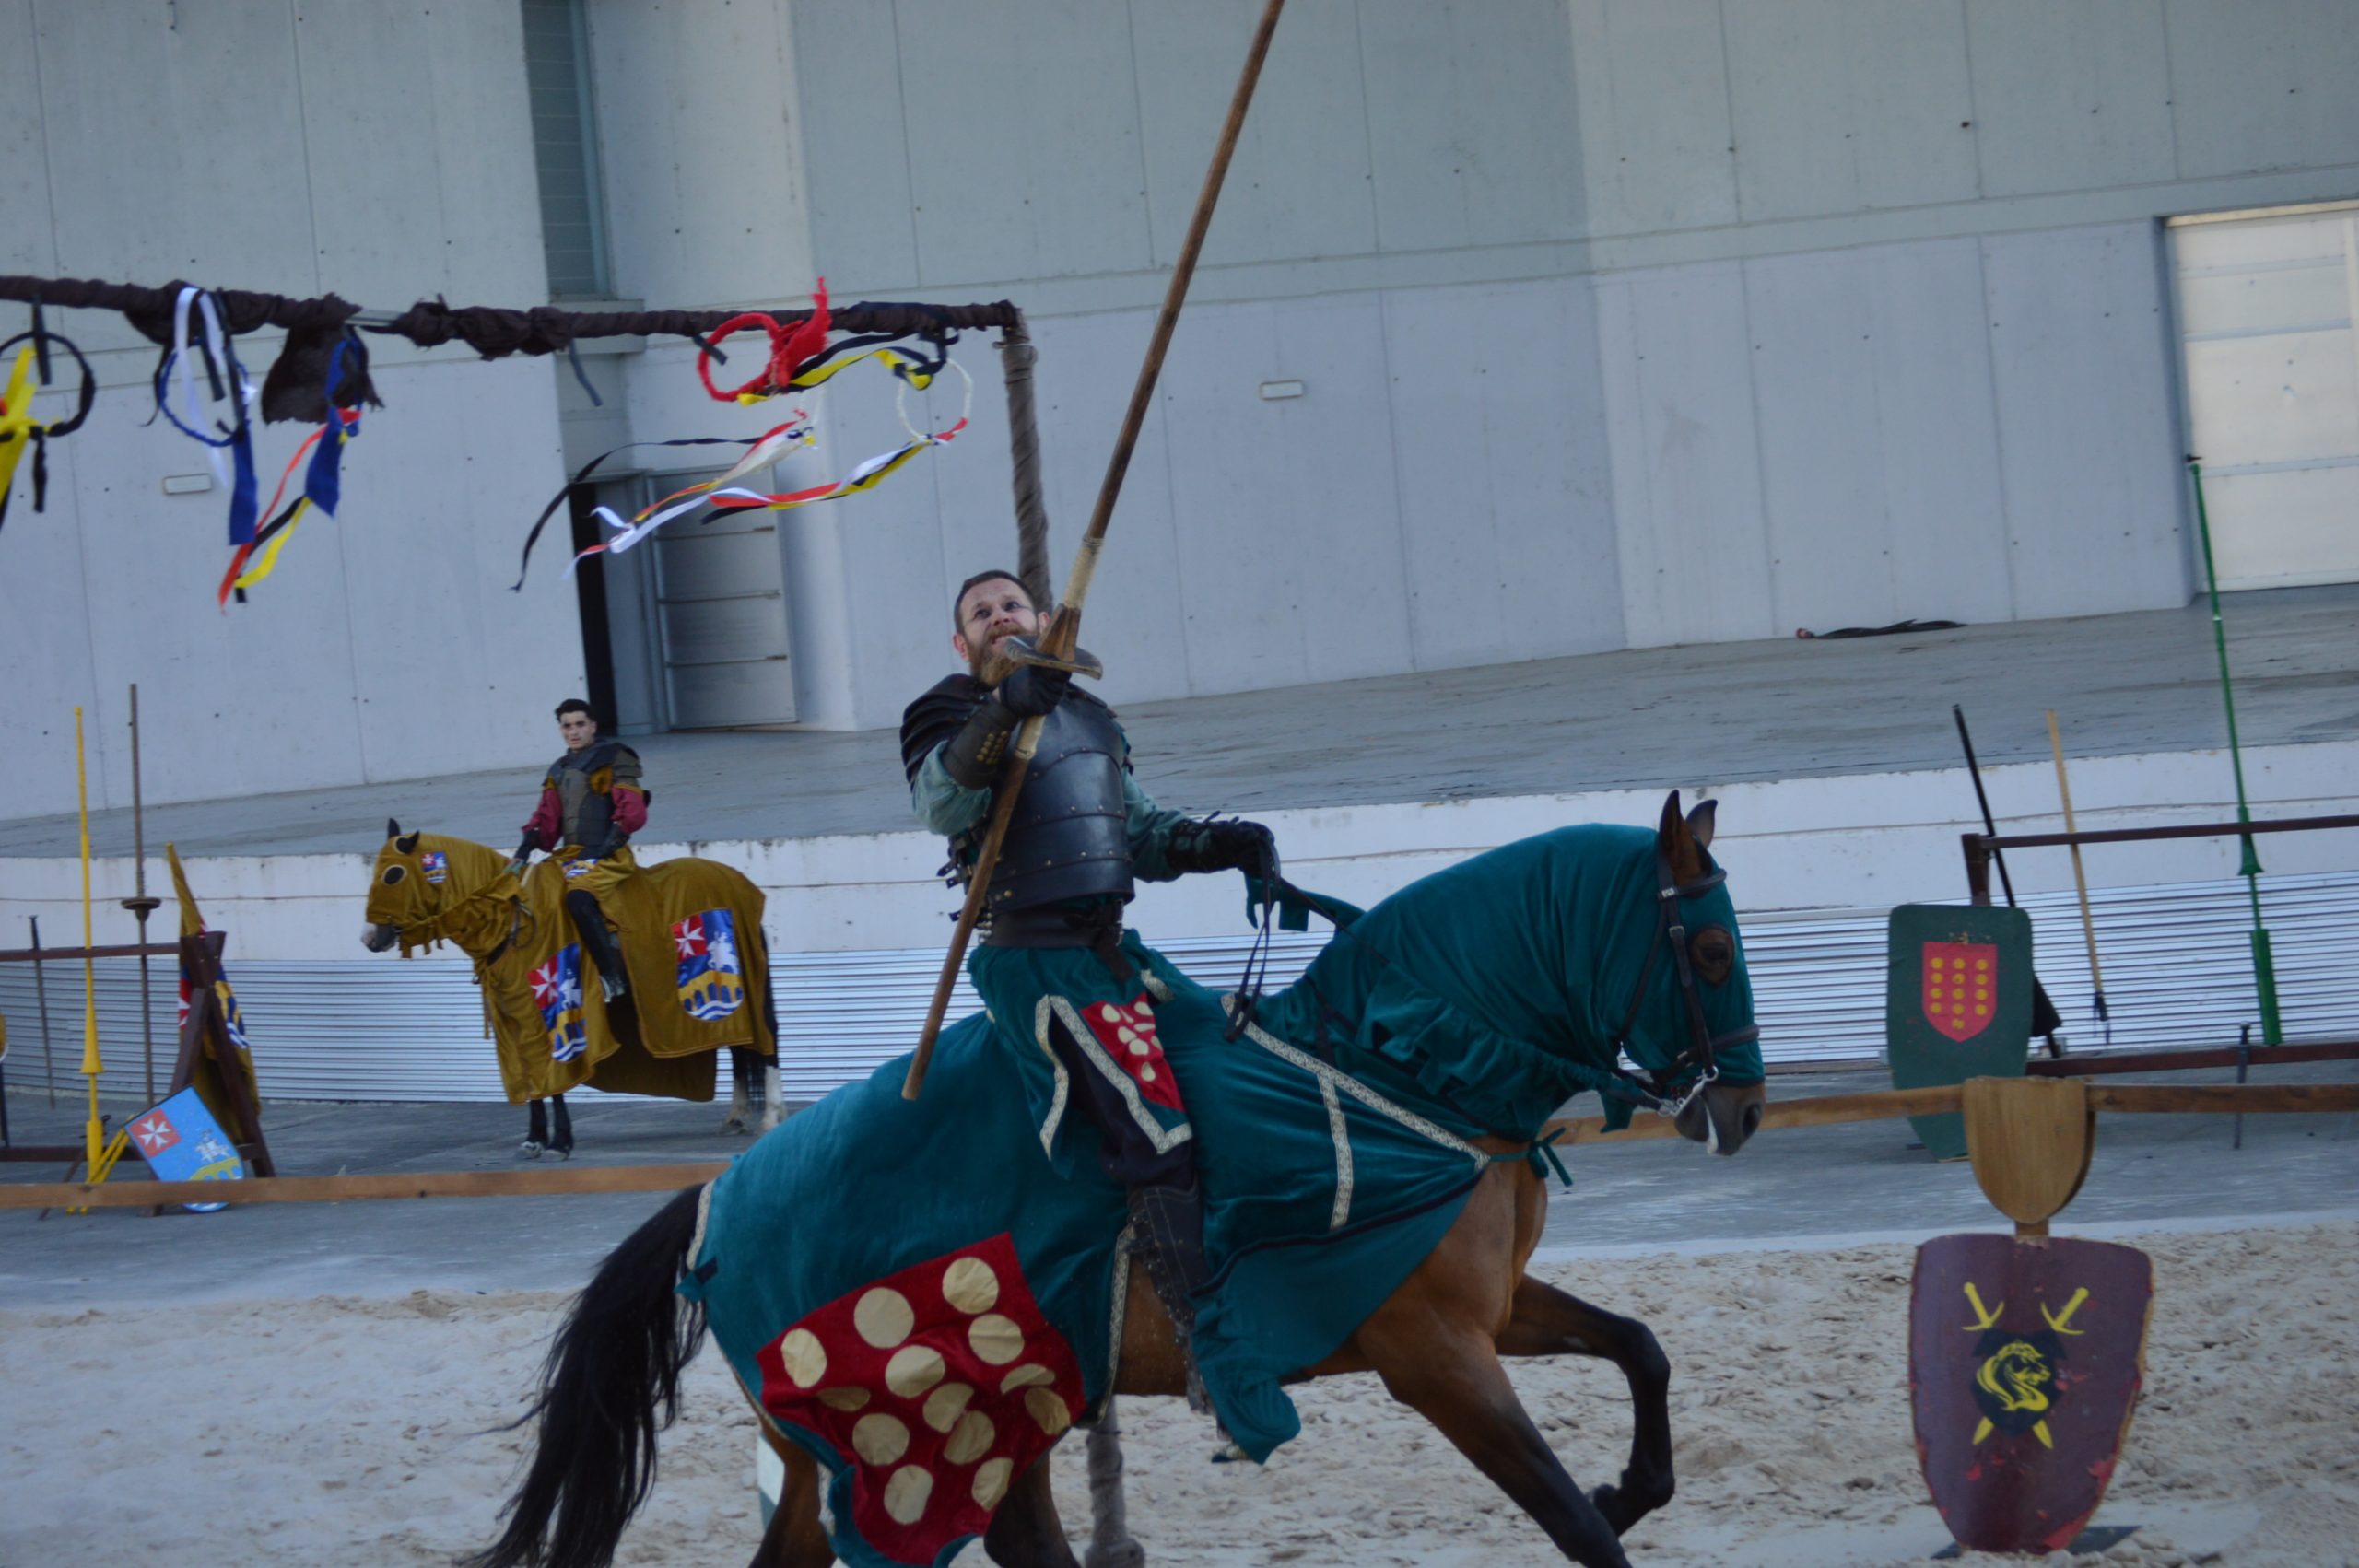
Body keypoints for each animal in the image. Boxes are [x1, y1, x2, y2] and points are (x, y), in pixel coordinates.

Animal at [360, 825, 782, 1155]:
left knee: (767, 1039)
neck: (510, 919)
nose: (369, 938)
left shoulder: (552, 1011)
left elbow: (555, 1073)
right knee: (739, 1045)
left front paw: (559, 1141)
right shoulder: (513, 1017)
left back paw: (771, 1117)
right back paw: (736, 1116)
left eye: (393, 874)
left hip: (748, 979)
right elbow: (529, 1073)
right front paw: (534, 1138)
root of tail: (738, 882)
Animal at [478, 797, 1774, 1565]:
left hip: (924, 1429)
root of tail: (716, 1201)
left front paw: (1634, 1483)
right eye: (1710, 947)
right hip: (910, 1434)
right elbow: (1570, 1520)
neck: (1399, 1070)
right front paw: (1606, 1502)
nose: (1744, 1111)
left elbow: (1641, 1350)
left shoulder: (1492, 1314)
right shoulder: (1435, 1356)